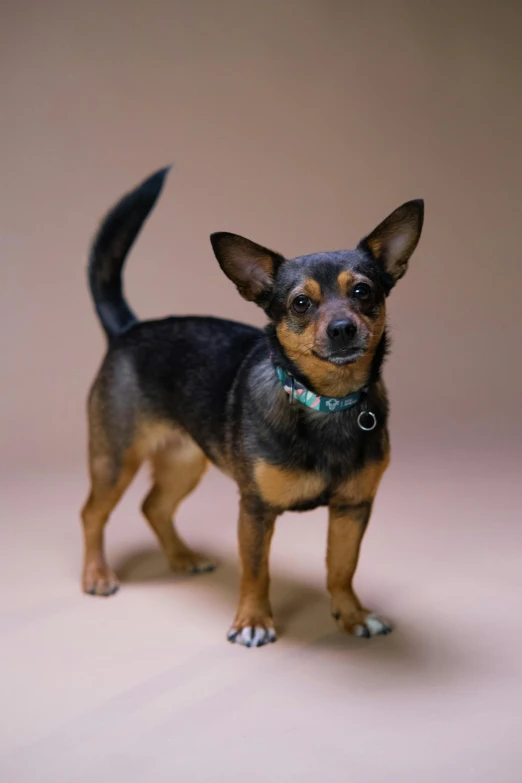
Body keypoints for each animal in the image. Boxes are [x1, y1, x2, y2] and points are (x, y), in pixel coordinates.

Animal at [81, 167, 422, 648]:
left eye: (362, 291)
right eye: (301, 303)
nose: (342, 328)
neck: (325, 401)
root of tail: (127, 329)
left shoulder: (353, 508)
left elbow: (341, 567)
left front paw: (352, 615)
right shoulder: (255, 510)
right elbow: (257, 571)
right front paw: (253, 621)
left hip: (184, 460)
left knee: (154, 506)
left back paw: (182, 558)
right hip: (114, 461)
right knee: (92, 513)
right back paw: (96, 574)